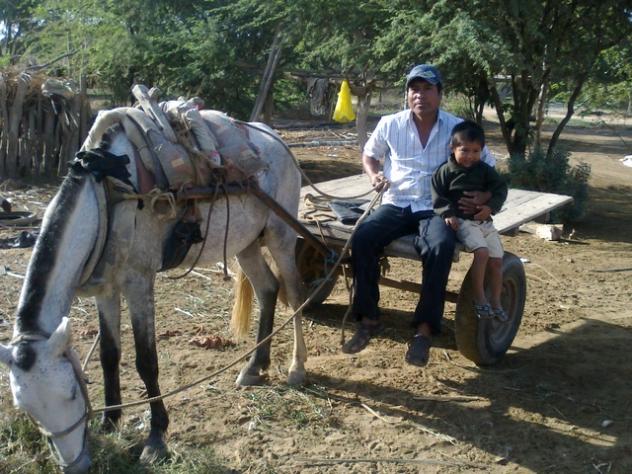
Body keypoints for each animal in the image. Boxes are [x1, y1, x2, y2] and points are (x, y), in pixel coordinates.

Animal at [0, 111, 307, 473]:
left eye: (71, 393)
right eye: (27, 409)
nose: (77, 465)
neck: (108, 196)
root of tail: (277, 141)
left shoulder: (138, 282)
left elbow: (146, 361)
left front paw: (156, 437)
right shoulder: (106, 289)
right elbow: (109, 355)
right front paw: (110, 422)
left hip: (281, 235)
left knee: (296, 295)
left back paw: (297, 368)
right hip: (245, 244)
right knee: (268, 289)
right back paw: (255, 366)